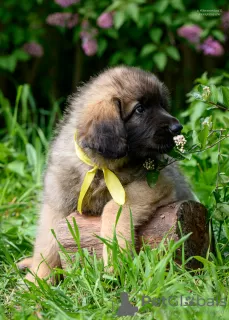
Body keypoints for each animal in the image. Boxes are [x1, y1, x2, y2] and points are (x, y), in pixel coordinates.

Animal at [20, 66, 193, 282]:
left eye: (162, 105)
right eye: (140, 109)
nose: (178, 127)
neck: (100, 167)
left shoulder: (160, 182)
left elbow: (114, 207)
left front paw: (115, 256)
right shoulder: (56, 204)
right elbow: (47, 243)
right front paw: (37, 280)